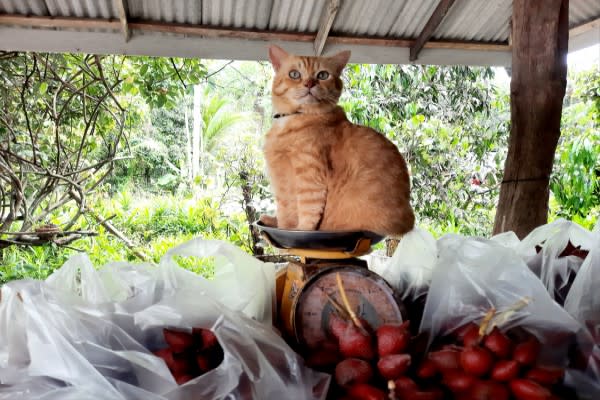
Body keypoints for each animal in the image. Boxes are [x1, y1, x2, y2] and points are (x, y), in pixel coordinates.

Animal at [260, 45, 414, 236]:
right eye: (294, 74)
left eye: (322, 75)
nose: (309, 83)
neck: (297, 117)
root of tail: (409, 222)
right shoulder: (282, 181)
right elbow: (284, 213)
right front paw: (279, 225)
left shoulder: (310, 175)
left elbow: (307, 212)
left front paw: (300, 231)